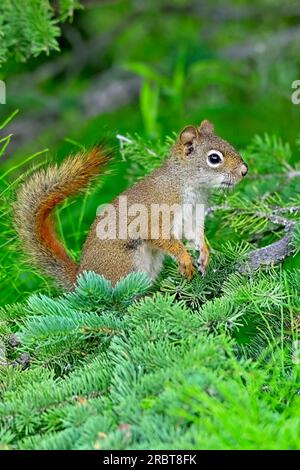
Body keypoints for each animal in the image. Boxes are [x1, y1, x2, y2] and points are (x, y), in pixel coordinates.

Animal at [14, 120, 248, 290]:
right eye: (214, 158)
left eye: (229, 144)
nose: (244, 170)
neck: (188, 185)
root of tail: (81, 280)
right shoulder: (157, 215)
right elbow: (164, 239)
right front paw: (185, 260)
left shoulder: (194, 215)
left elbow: (196, 235)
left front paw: (204, 254)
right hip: (126, 263)